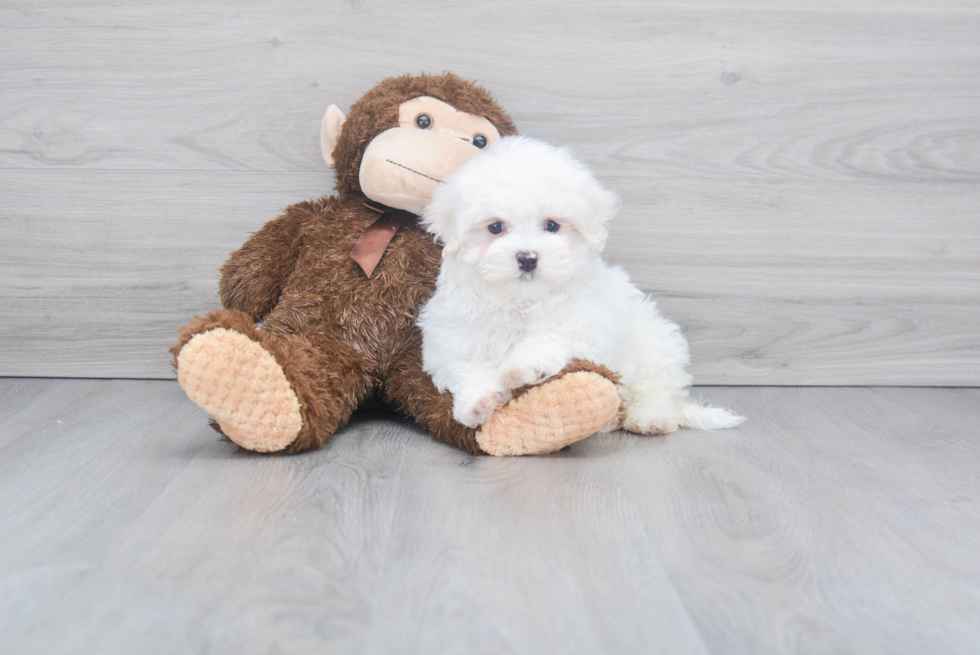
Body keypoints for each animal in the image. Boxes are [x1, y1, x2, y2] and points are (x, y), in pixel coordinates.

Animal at [416, 137, 744, 436]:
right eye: (495, 227)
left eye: (552, 225)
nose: (527, 258)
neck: (521, 301)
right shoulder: (453, 336)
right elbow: (466, 367)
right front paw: (478, 402)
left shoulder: (586, 325)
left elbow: (552, 337)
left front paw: (523, 367)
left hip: (656, 344)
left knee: (657, 389)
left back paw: (650, 418)